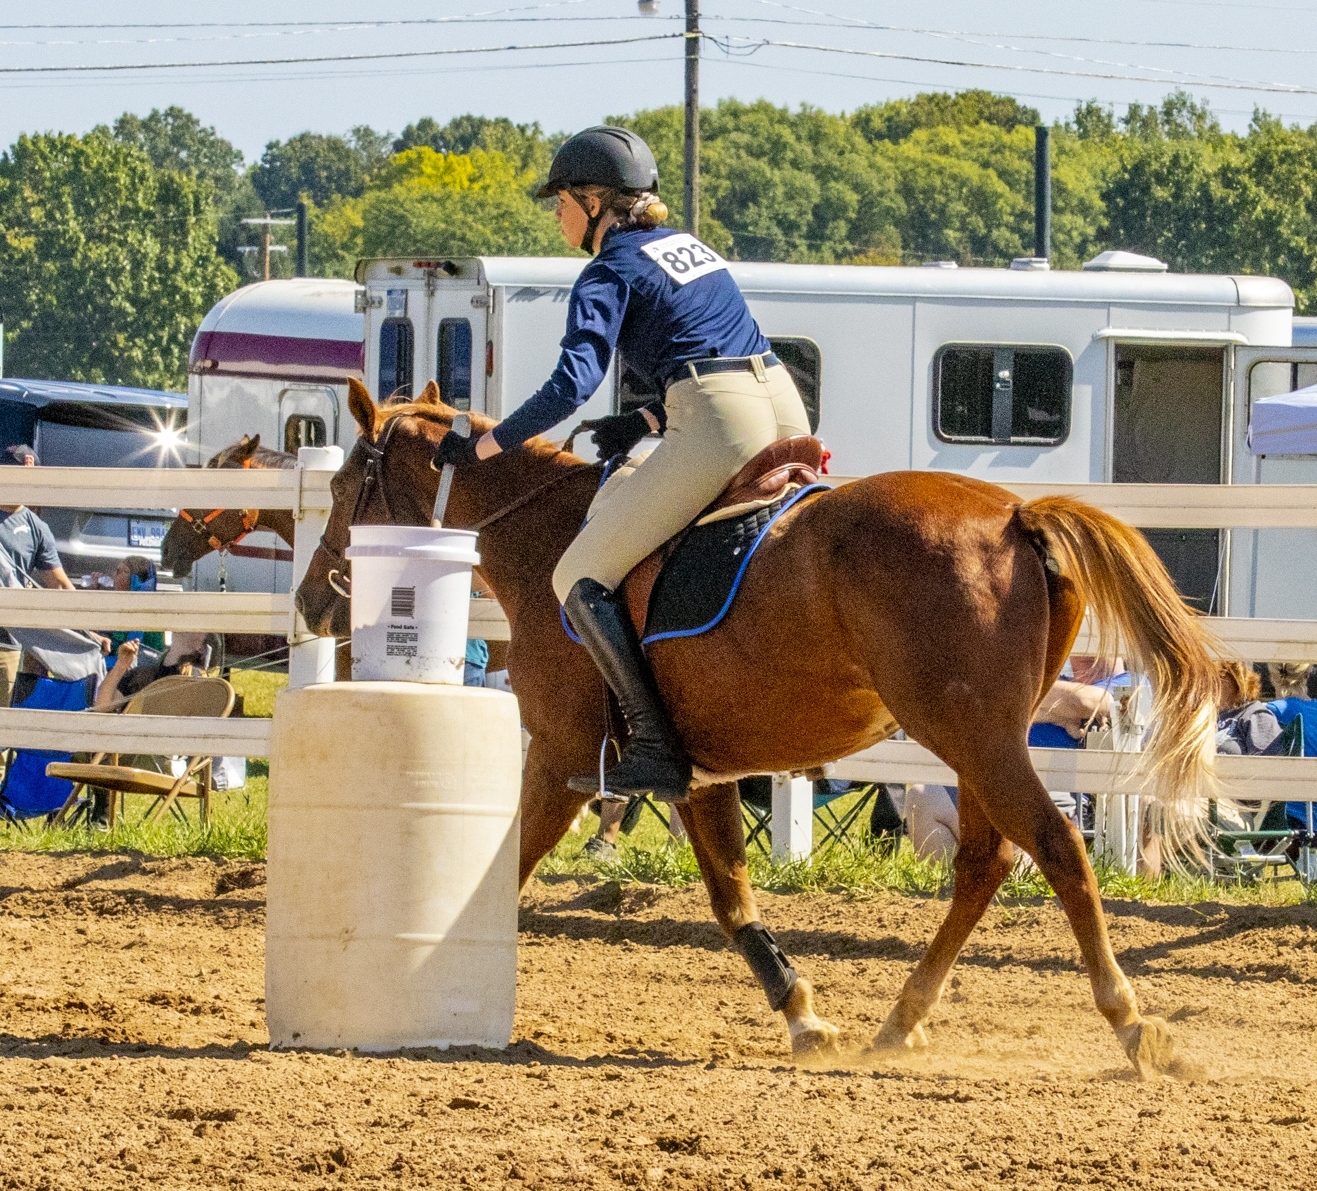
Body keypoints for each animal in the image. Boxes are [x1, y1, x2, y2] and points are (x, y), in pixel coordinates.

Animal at [295, 377, 1221, 1078]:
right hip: (978, 740)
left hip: (974, 736)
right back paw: (901, 1017)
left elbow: (510, 866)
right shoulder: (695, 772)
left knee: (1055, 849)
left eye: (342, 490)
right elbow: (731, 898)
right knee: (984, 863)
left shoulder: (558, 752)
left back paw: (1131, 1022)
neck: (543, 536)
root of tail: (1012, 516)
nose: (311, 602)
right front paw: (803, 1017)